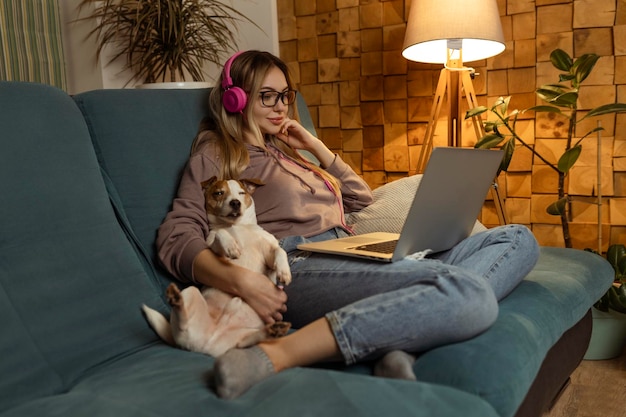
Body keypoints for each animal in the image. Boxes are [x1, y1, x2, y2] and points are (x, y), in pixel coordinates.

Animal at [141, 176, 290, 354]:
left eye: (242, 193)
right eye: (219, 193)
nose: (235, 203)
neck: (237, 225)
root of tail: (208, 345)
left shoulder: (268, 253)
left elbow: (280, 251)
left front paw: (284, 271)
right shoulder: (212, 248)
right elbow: (220, 233)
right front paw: (230, 245)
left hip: (240, 339)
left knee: (245, 341)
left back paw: (273, 330)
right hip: (191, 292)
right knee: (182, 324)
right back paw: (176, 299)